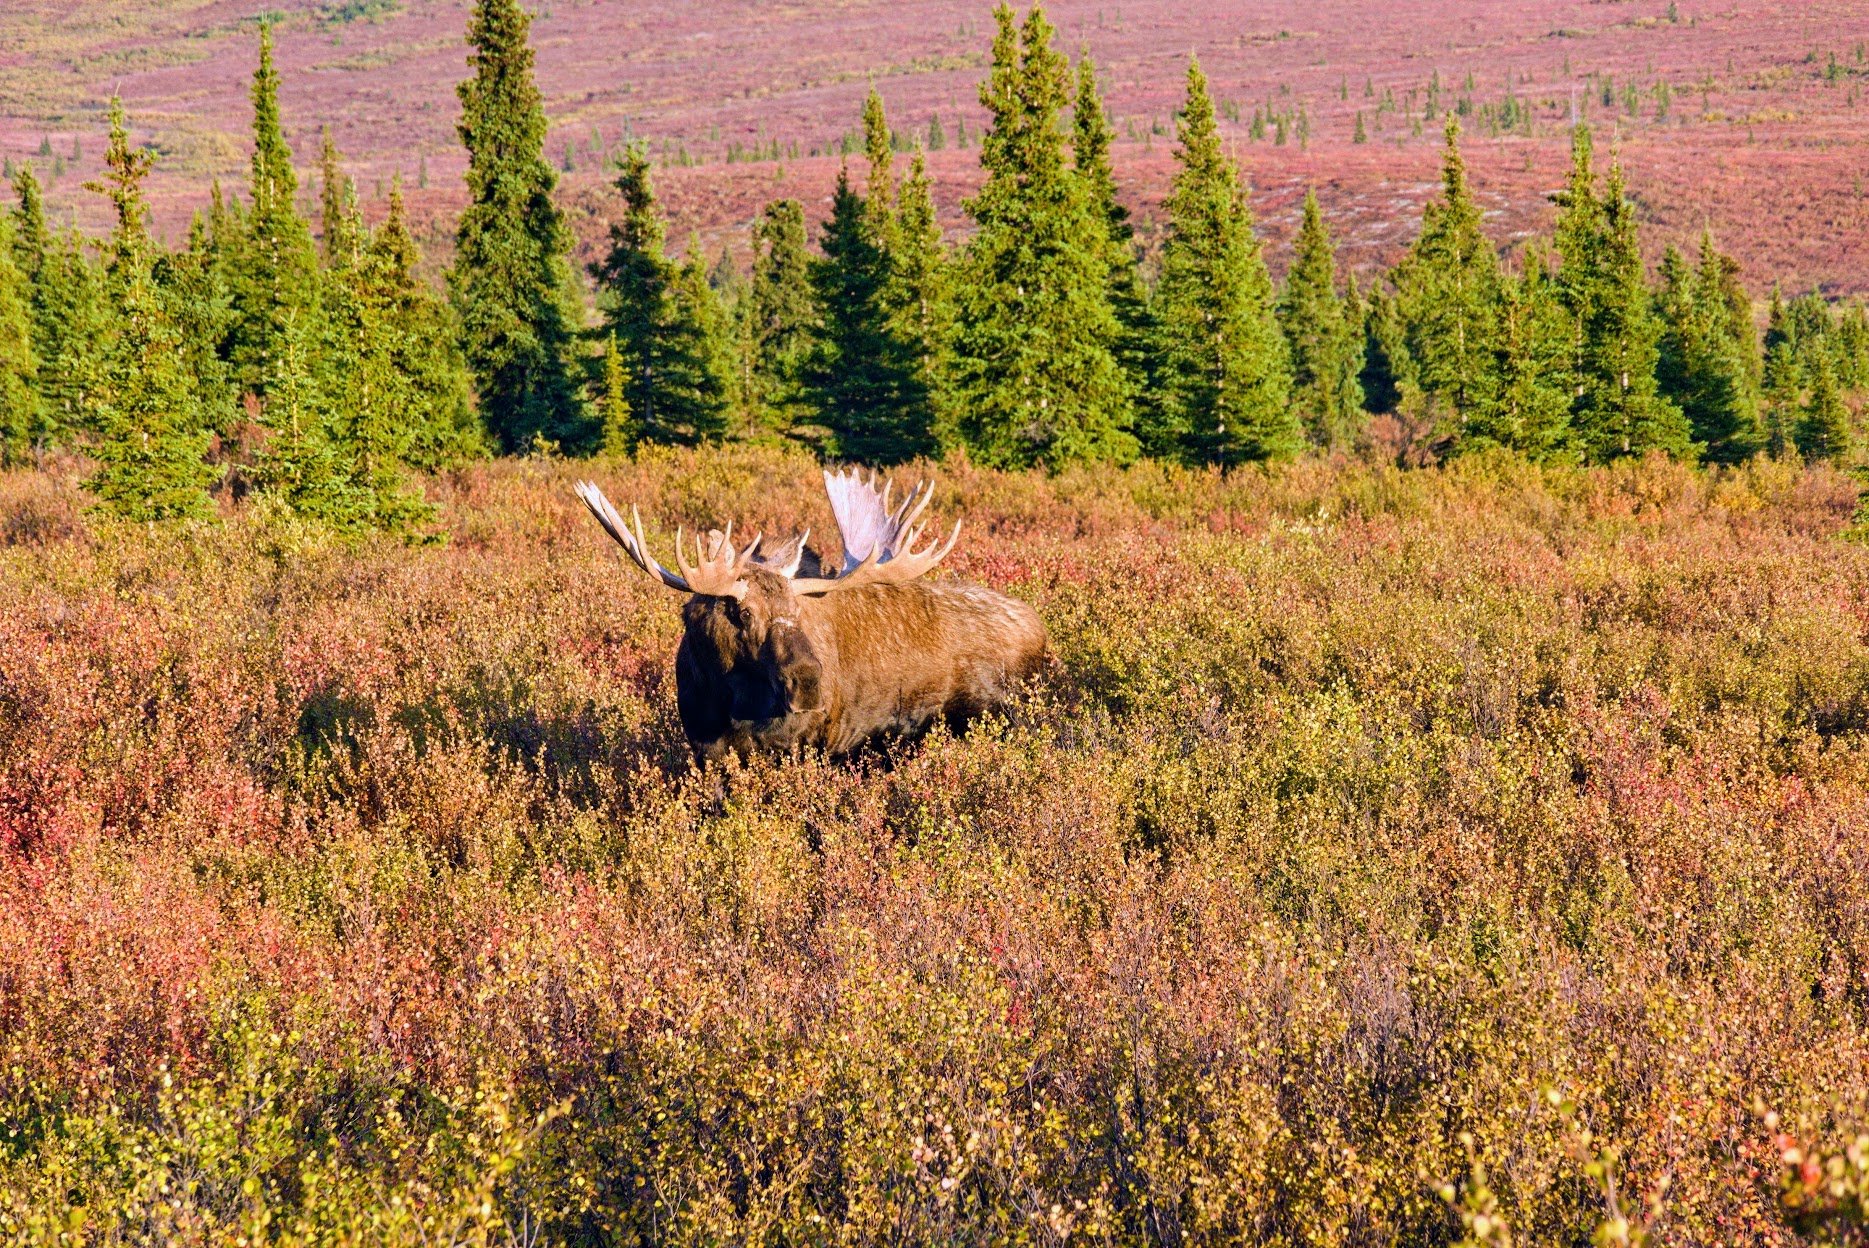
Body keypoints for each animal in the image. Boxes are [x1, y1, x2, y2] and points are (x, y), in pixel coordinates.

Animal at [574, 469, 1048, 762]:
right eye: (741, 612)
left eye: (797, 609)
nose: (808, 683)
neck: (723, 703)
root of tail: (1041, 631)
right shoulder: (704, 748)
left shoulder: (806, 747)